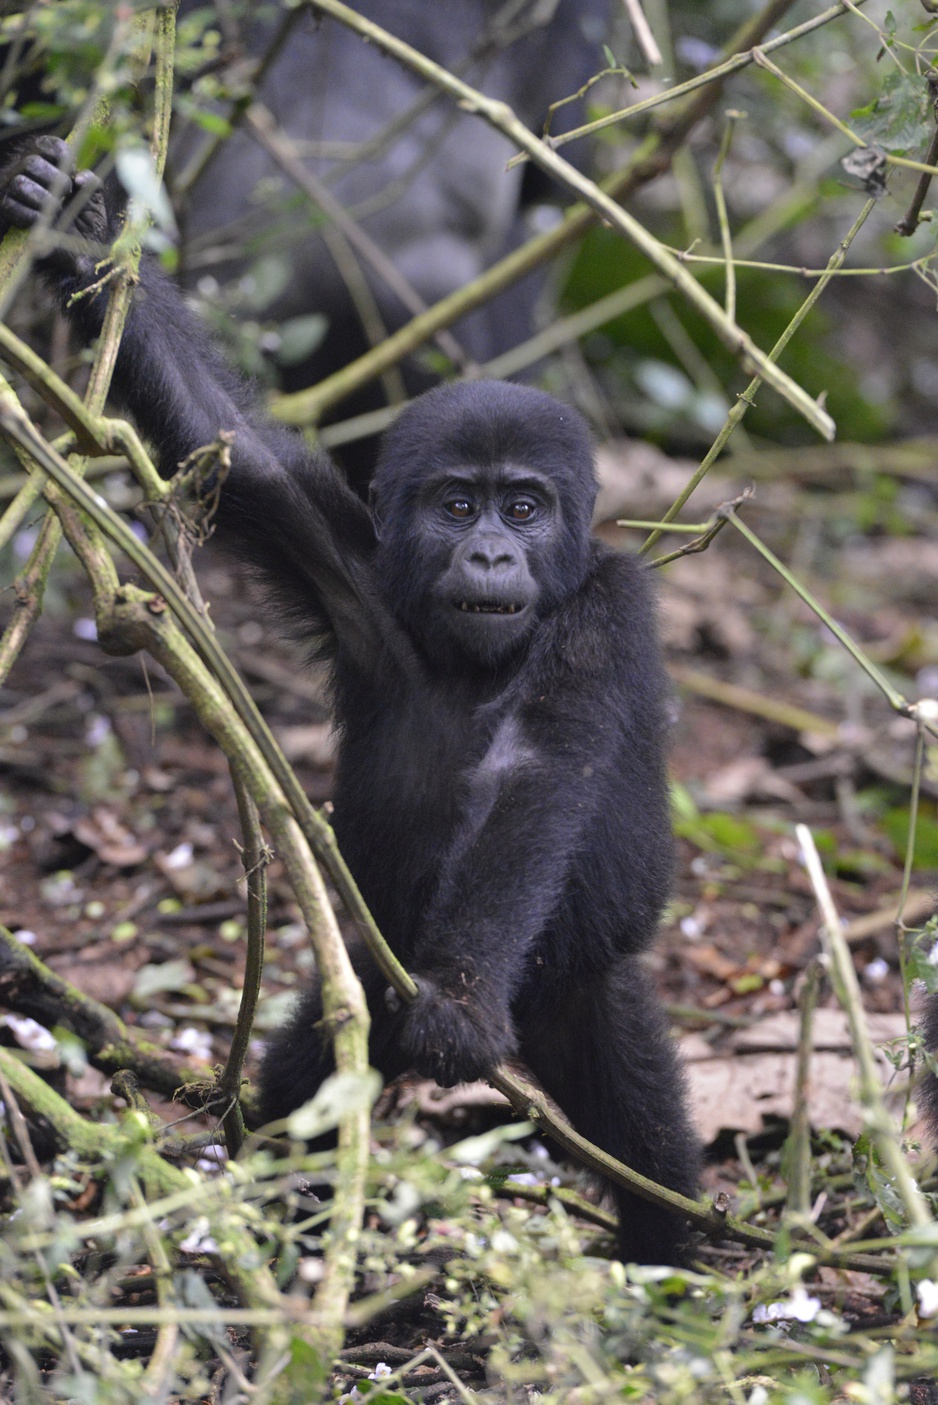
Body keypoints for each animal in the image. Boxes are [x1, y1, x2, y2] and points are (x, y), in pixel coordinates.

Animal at [0, 136, 699, 1270]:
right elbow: (230, 440)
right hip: (364, 986)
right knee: (313, 1075)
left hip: (577, 984)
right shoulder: (346, 563)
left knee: (637, 1111)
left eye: (524, 506)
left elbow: (540, 770)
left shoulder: (608, 607)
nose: (489, 553)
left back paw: (671, 1250)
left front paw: (459, 996)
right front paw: (79, 225)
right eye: (457, 504)